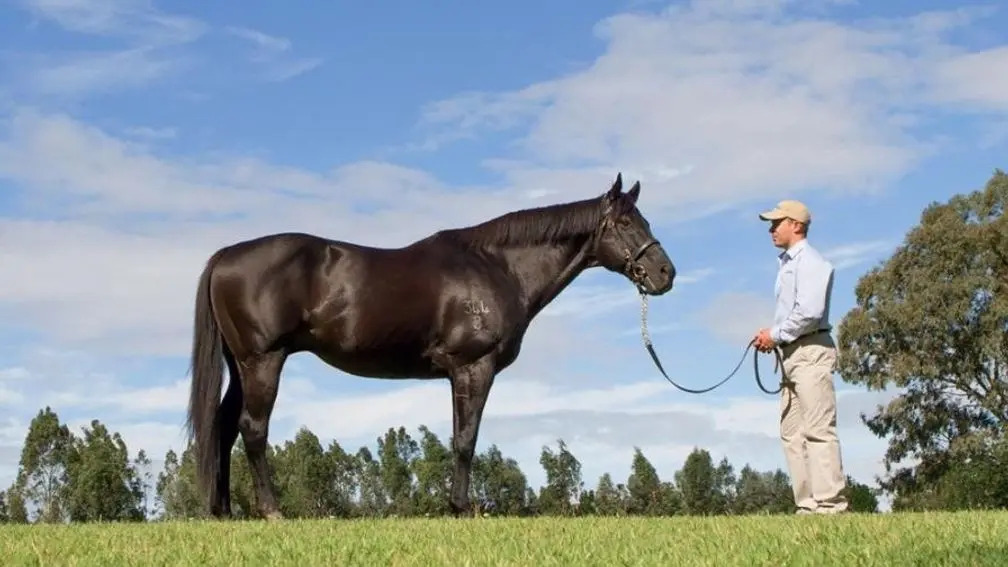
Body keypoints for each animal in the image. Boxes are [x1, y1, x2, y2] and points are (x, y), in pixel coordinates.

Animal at [189, 171, 677, 516]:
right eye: (626, 223)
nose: (665, 273)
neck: (498, 268)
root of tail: (226, 255)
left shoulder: (457, 374)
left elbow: (460, 436)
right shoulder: (473, 367)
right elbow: (465, 439)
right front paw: (461, 507)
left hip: (242, 365)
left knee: (225, 426)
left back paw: (224, 511)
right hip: (263, 361)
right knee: (253, 429)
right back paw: (271, 511)